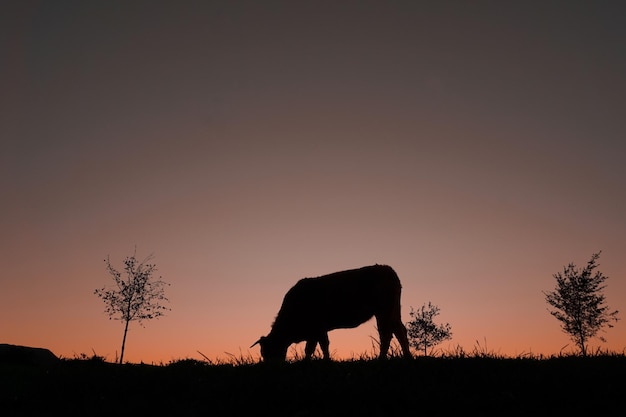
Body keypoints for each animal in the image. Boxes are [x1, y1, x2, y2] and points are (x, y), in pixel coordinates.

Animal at [251, 264, 412, 360]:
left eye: (269, 351)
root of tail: (387, 269)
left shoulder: (317, 328)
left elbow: (316, 347)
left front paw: (316, 361)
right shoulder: (316, 331)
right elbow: (317, 346)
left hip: (384, 311)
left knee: (386, 334)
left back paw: (381, 359)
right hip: (394, 311)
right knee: (400, 330)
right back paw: (407, 356)